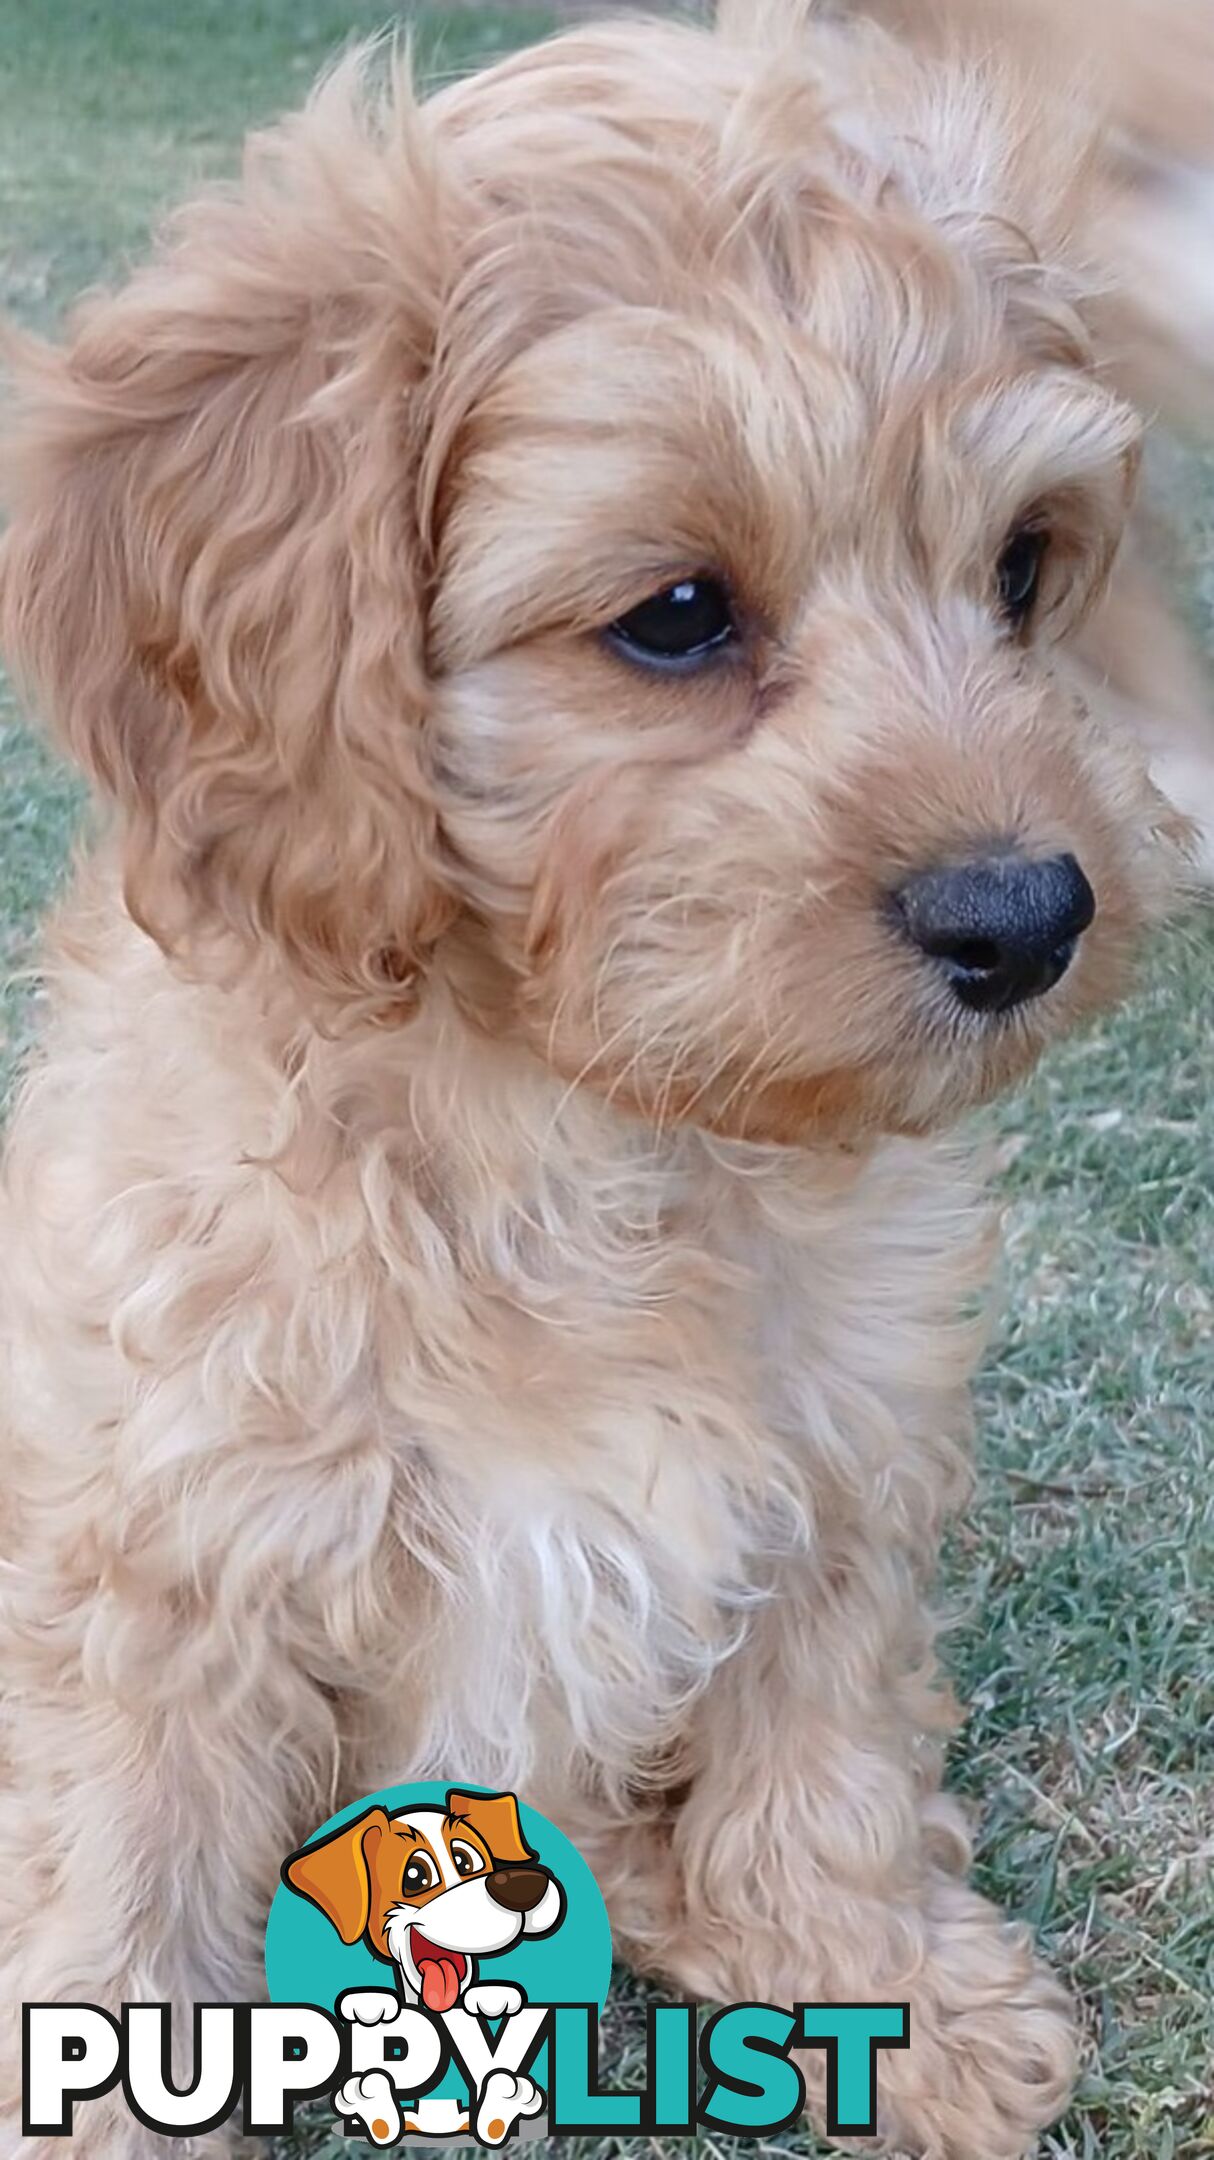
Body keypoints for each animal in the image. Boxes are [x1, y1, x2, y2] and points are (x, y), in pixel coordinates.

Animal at [0, 4, 1201, 2160]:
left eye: (1018, 572)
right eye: (674, 617)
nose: (1028, 914)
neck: (585, 1128)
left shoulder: (841, 1471)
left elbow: (827, 1753)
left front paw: (888, 1991)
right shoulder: (167, 1541)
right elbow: (120, 1878)